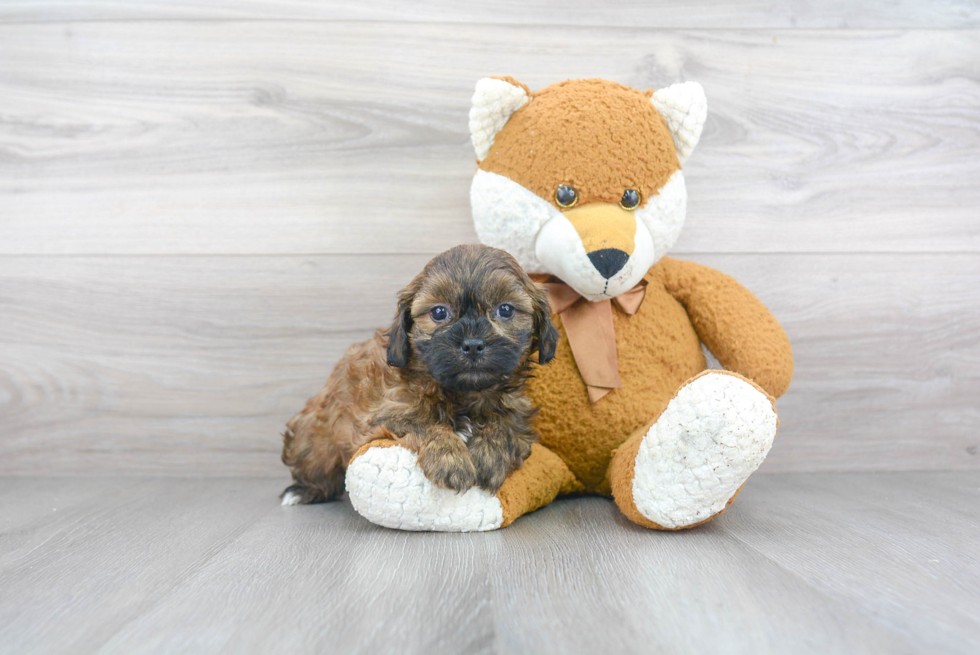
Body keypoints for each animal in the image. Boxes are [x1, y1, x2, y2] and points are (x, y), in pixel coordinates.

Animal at [284, 246, 560, 508]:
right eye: (438, 313)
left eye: (505, 310)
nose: (472, 345)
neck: (463, 393)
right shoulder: (383, 414)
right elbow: (424, 424)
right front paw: (450, 458)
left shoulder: (518, 410)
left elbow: (507, 424)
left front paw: (489, 454)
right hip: (314, 444)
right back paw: (300, 492)